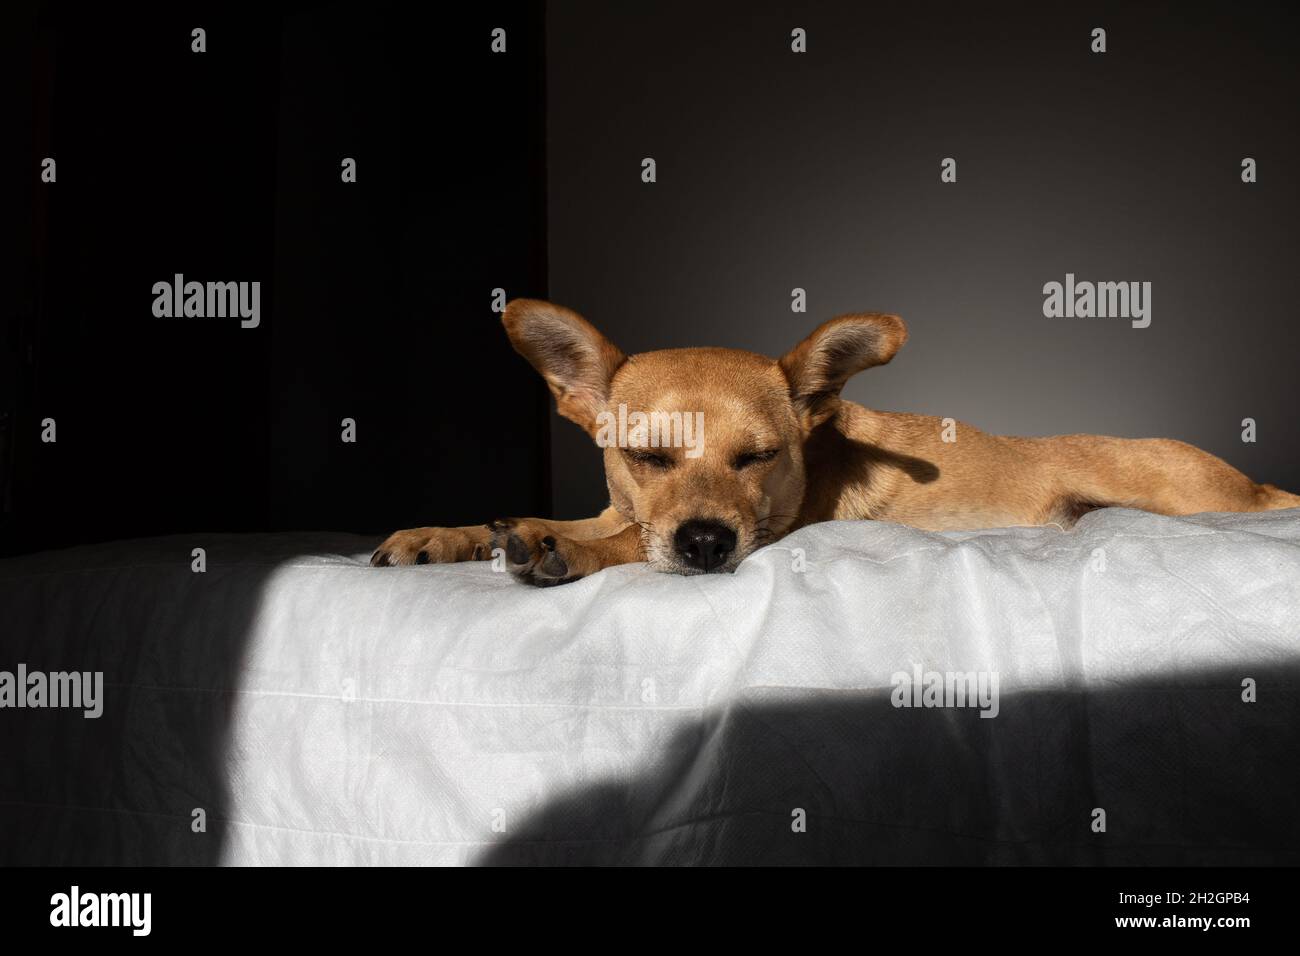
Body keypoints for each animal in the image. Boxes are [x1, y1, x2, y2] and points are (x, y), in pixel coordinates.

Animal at [369, 300, 1300, 582]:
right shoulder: (626, 503)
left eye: (760, 459)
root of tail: (1258, 486)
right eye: (647, 457)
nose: (706, 545)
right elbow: (577, 517)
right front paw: (443, 535)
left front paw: (558, 550)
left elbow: (625, 540)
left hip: (1172, 491)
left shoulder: (771, 531)